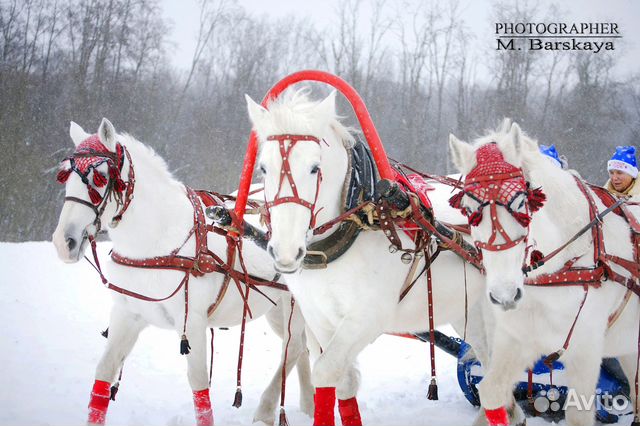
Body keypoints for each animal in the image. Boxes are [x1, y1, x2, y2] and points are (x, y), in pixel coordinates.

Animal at [52, 119, 316, 426]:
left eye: (99, 178)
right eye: (65, 177)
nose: (63, 243)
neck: (156, 241)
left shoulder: (193, 321)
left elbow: (199, 385)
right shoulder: (127, 314)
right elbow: (104, 372)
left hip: (295, 304)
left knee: (293, 347)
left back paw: (265, 410)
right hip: (275, 307)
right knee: (300, 348)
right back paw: (308, 405)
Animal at [240, 88, 510, 424]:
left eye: (315, 168)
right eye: (263, 168)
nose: (286, 252)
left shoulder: (367, 317)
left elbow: (326, 371)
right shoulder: (318, 317)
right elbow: (343, 380)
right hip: (469, 311)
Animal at [450, 120, 640, 426]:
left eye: (519, 203)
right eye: (469, 210)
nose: (504, 295)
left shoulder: (586, 349)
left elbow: (578, 414)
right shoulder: (517, 338)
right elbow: (491, 392)